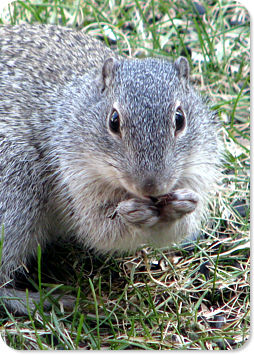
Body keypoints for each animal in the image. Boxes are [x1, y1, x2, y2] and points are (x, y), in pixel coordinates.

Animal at [0, 25, 220, 314]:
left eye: (180, 118)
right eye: (113, 121)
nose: (151, 187)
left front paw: (183, 204)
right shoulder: (72, 177)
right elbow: (98, 230)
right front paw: (132, 215)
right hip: (17, 189)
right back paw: (42, 301)